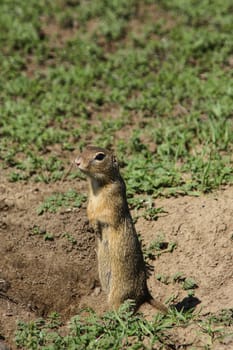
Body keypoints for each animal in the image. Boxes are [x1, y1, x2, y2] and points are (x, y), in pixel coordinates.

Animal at [75, 146, 167, 314]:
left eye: (100, 156)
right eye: (85, 148)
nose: (77, 161)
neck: (96, 185)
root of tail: (145, 292)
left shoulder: (114, 198)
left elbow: (105, 214)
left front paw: (96, 224)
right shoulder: (90, 200)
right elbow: (89, 211)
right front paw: (92, 225)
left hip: (119, 293)